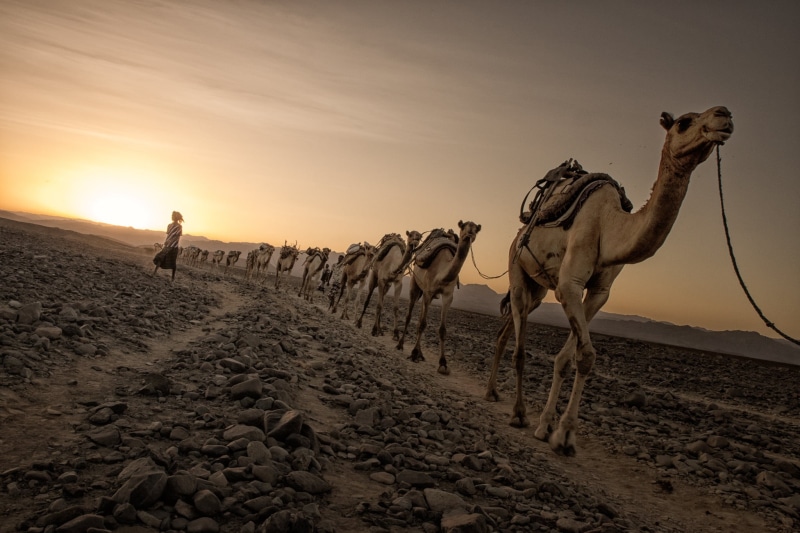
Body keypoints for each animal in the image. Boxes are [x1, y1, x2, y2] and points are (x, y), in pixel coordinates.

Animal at [396, 220, 481, 375]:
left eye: (476, 229)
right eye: (463, 226)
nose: (470, 234)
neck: (442, 272)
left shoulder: (448, 296)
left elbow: (442, 329)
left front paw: (443, 363)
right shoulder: (429, 292)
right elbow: (423, 324)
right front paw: (414, 353)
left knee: (420, 318)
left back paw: (421, 354)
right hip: (415, 285)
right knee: (410, 315)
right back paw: (401, 345)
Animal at [484, 106, 734, 457]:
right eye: (685, 122)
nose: (724, 115)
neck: (609, 224)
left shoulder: (599, 293)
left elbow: (568, 358)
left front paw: (551, 427)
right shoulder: (570, 285)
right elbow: (586, 356)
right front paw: (561, 434)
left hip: (538, 288)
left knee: (507, 331)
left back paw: (492, 392)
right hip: (517, 269)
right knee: (519, 347)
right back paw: (518, 413)